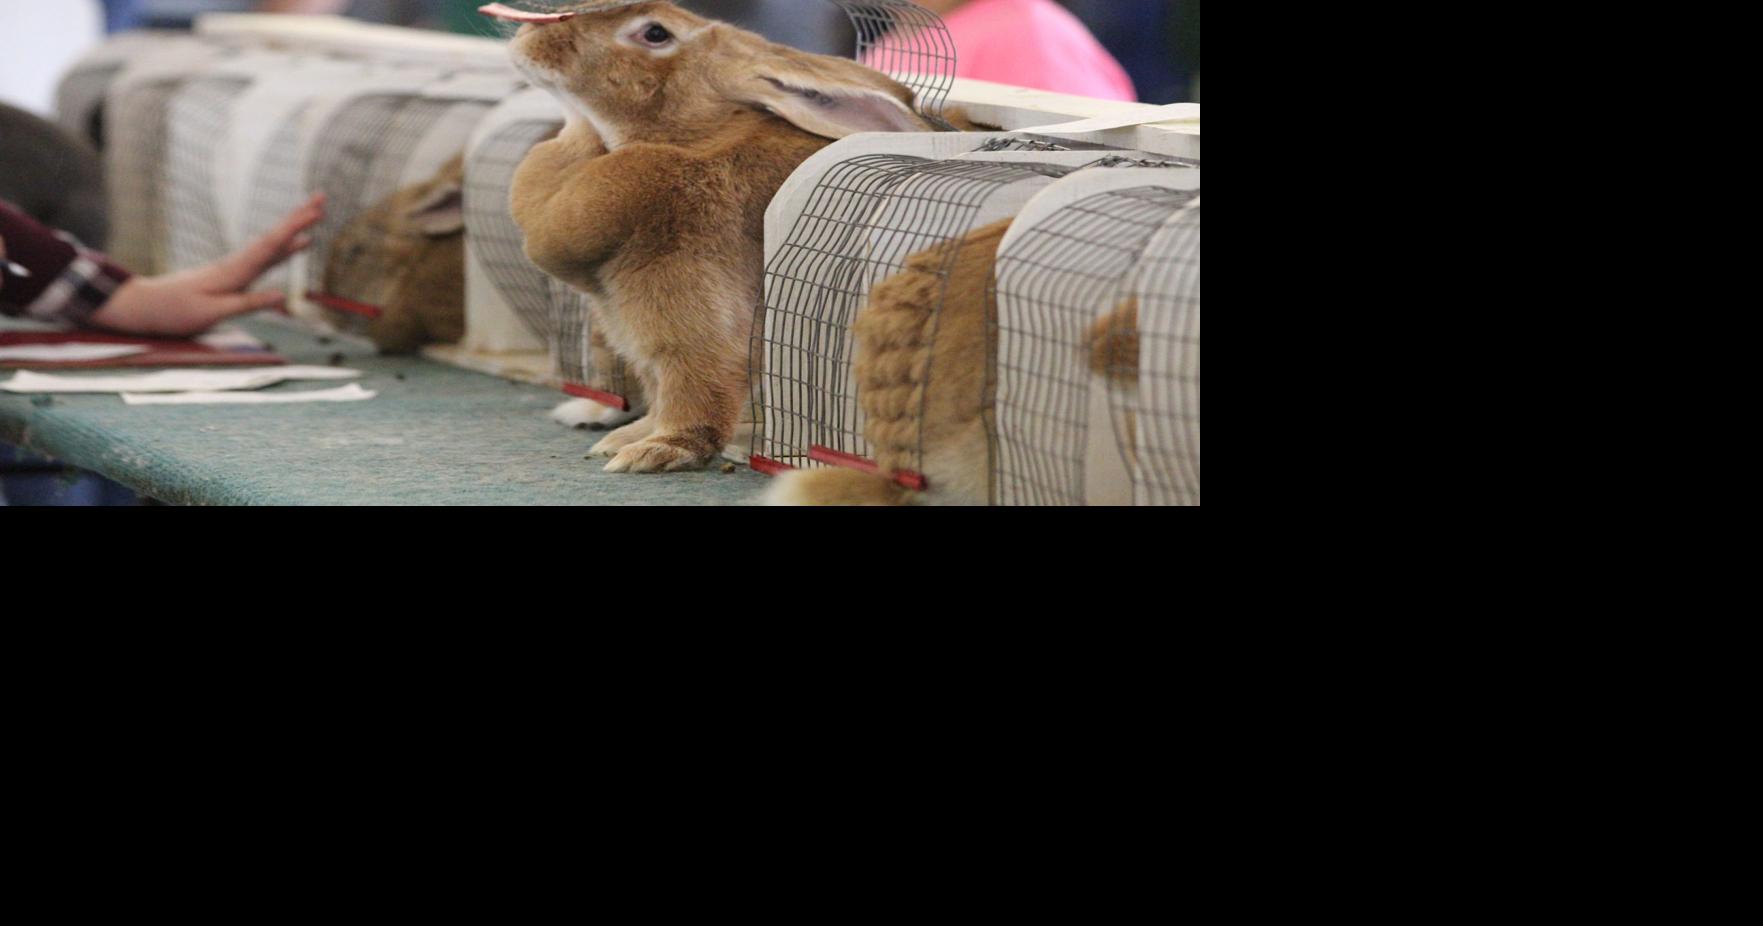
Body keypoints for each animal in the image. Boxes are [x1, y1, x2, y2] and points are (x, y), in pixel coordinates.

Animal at [496, 0, 932, 473]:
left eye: (655, 33)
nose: (529, 35)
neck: (688, 140)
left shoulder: (692, 318)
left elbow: (695, 390)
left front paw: (655, 451)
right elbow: (657, 392)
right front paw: (627, 438)